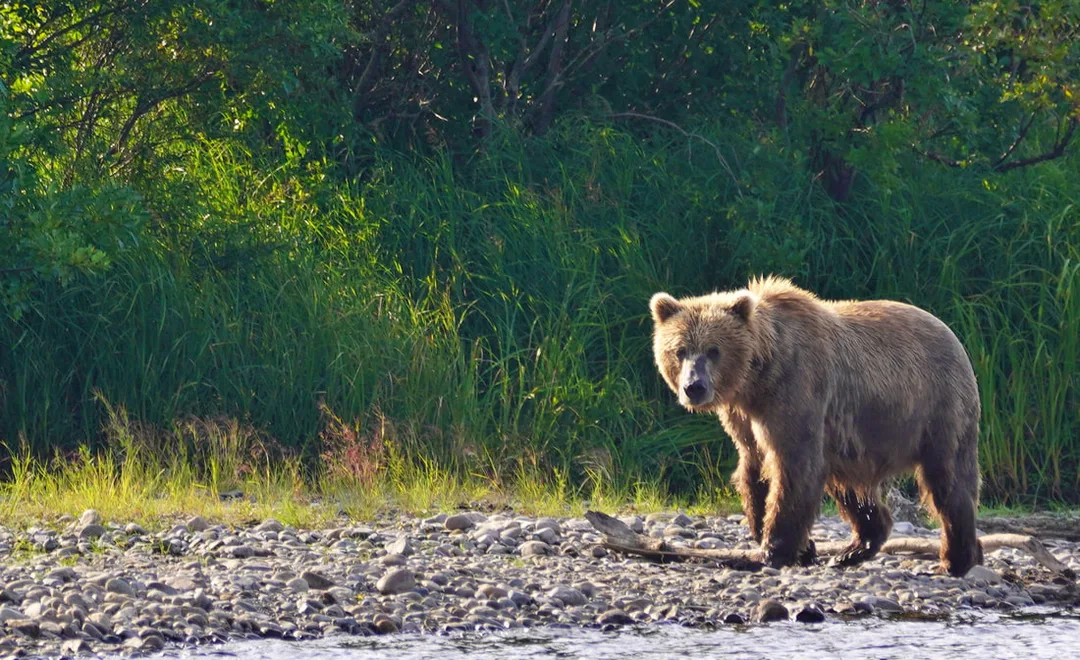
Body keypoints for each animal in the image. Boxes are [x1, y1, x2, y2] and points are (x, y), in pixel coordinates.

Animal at [649, 275, 982, 577]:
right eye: (680, 350)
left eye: (713, 350)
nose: (694, 387)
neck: (759, 377)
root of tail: (955, 338)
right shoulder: (744, 417)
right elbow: (754, 468)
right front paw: (800, 547)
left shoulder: (797, 390)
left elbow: (794, 468)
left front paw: (772, 552)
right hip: (852, 441)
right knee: (851, 488)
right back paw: (852, 551)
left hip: (936, 409)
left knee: (948, 480)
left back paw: (956, 559)